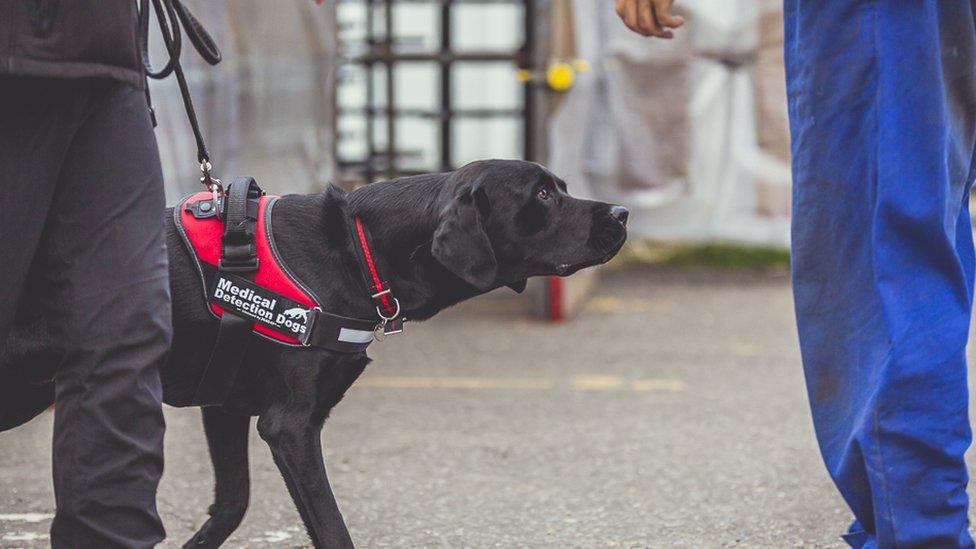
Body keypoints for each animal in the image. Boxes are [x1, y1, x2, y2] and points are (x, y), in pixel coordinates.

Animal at [1, 158, 624, 548]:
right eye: (541, 194)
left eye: (560, 185)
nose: (621, 213)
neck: (357, 248)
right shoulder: (290, 426)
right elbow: (331, 527)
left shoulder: (225, 406)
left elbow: (231, 505)